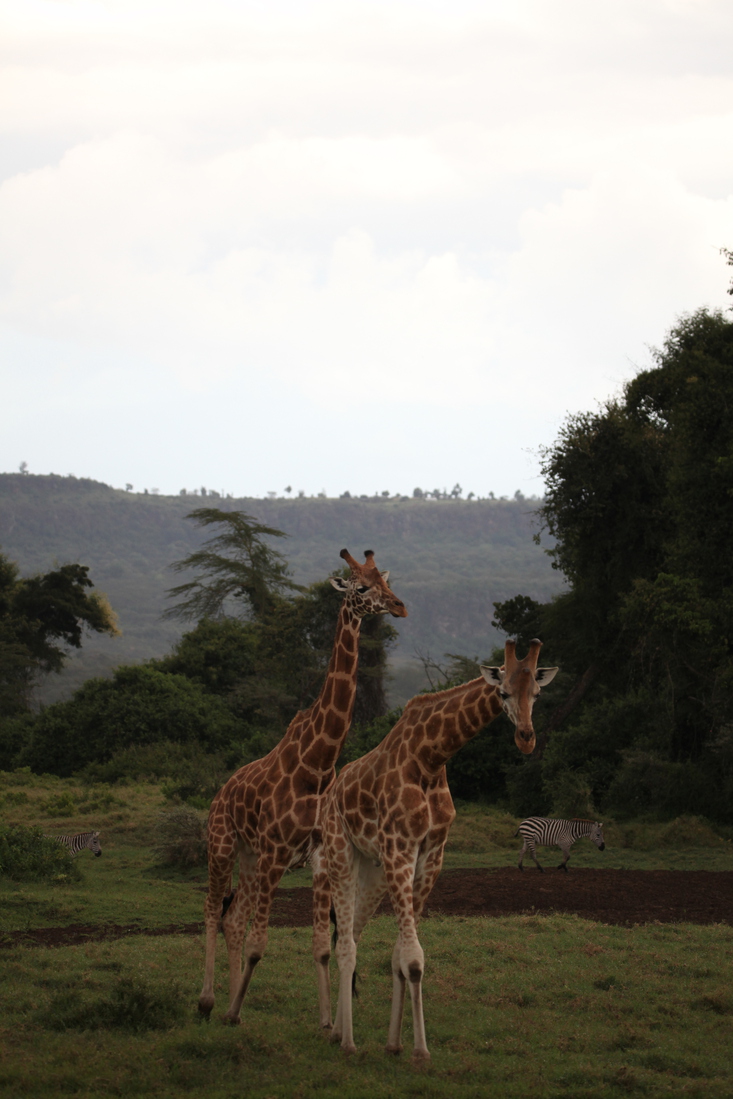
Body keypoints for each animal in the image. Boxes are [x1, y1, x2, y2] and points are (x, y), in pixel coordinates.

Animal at [198, 553, 406, 1024]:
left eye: (386, 581)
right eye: (360, 588)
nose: (399, 606)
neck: (318, 763)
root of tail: (220, 794)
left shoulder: (317, 857)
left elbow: (320, 946)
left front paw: (328, 1022)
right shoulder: (277, 853)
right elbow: (260, 943)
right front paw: (232, 1011)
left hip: (249, 857)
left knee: (232, 918)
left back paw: (233, 1002)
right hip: (223, 846)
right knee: (212, 910)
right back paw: (209, 1002)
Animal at [323, 641, 558, 1059]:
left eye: (537, 693)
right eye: (503, 693)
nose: (526, 738)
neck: (431, 759)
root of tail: (334, 789)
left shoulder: (431, 854)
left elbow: (400, 955)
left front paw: (395, 1044)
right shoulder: (400, 848)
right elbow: (413, 959)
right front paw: (420, 1051)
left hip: (372, 869)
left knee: (352, 937)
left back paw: (336, 1031)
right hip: (341, 855)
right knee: (346, 945)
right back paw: (348, 1042)